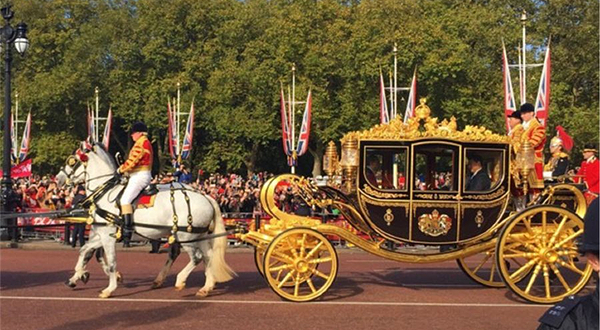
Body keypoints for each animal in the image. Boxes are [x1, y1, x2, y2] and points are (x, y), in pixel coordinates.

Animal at [56, 142, 234, 300]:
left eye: (72, 161)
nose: (58, 179)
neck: (105, 193)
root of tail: (206, 196)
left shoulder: (107, 236)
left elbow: (110, 261)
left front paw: (109, 289)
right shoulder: (100, 235)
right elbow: (85, 250)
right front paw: (78, 276)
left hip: (186, 237)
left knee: (196, 257)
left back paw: (180, 280)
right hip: (198, 236)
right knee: (207, 256)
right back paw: (206, 287)